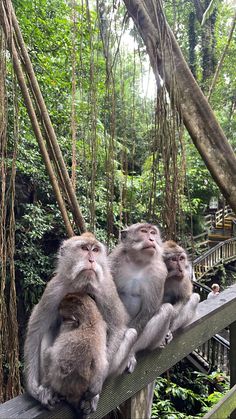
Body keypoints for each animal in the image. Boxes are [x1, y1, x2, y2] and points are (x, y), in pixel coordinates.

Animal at [23, 233, 136, 414]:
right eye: (84, 248)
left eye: (95, 250)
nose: (91, 260)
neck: (83, 283)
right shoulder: (54, 290)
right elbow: (36, 330)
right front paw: (34, 389)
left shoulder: (106, 289)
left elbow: (117, 328)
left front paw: (97, 386)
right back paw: (49, 388)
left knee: (131, 333)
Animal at [109, 223, 173, 374]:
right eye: (143, 231)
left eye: (153, 233)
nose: (151, 239)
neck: (138, 262)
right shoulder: (115, 259)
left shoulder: (159, 272)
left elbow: (148, 310)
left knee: (167, 309)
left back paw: (131, 353)